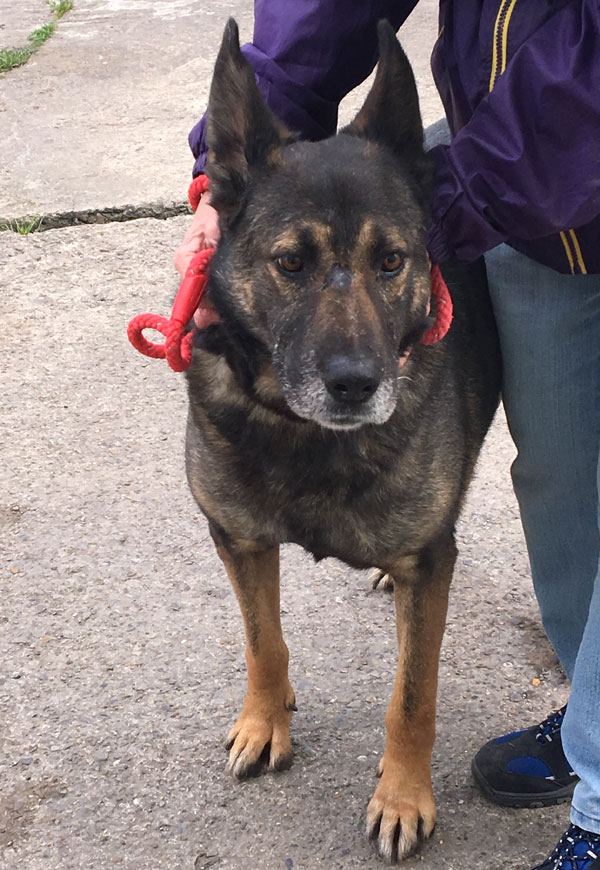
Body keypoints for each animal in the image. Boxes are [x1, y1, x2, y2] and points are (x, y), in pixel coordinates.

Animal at [186, 18, 502, 864]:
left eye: (391, 260)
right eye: (291, 262)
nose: (357, 386)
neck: (302, 434)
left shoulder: (430, 563)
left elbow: (412, 696)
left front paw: (403, 796)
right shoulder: (238, 538)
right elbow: (263, 642)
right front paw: (266, 721)